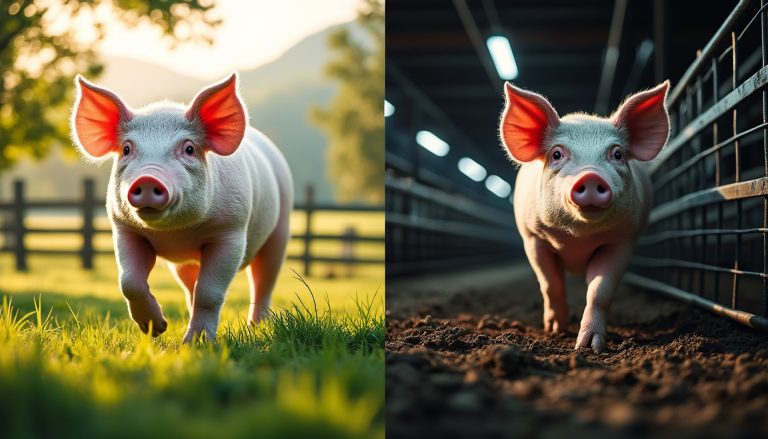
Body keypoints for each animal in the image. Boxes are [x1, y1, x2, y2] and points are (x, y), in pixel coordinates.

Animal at [70, 73, 293, 343]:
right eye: (126, 149)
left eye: (189, 149)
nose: (148, 179)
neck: (177, 233)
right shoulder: (125, 229)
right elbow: (130, 282)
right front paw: (157, 329)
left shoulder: (231, 231)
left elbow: (209, 292)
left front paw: (196, 343)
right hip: (184, 264)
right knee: (190, 287)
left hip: (281, 227)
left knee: (264, 279)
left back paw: (257, 328)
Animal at [499, 81, 670, 352]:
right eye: (557, 154)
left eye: (617, 154)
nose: (590, 176)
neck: (577, 238)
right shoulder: (534, 238)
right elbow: (551, 284)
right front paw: (555, 330)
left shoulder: (621, 241)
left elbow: (599, 290)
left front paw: (588, 347)